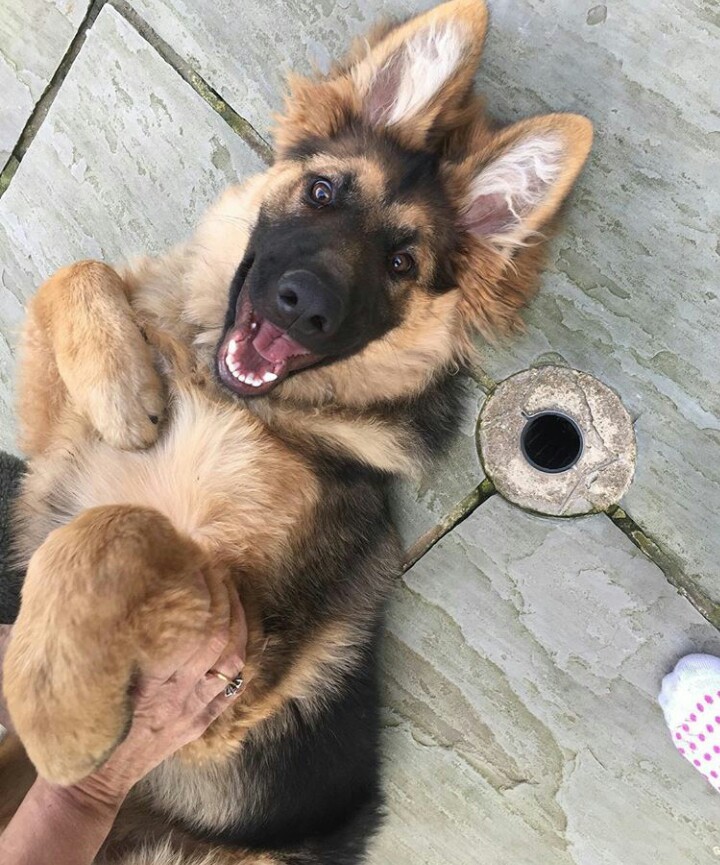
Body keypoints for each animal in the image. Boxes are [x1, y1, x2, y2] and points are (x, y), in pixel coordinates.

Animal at [0, 3, 592, 860]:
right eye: (322, 191)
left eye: (403, 262)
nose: (303, 306)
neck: (239, 401)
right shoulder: (54, 456)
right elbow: (75, 273)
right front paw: (123, 385)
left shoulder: (238, 661)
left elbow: (120, 527)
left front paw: (56, 698)